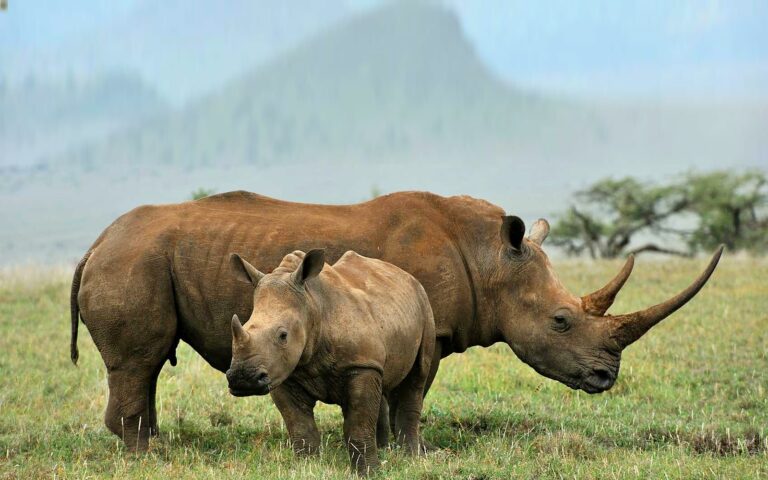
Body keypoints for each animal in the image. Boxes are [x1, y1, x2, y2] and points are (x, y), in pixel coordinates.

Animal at [70, 191, 722, 451]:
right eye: (561, 321)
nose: (607, 377)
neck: (489, 258)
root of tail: (94, 242)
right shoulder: (423, 324)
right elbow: (403, 394)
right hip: (132, 261)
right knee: (138, 361)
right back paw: (150, 456)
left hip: (138, 258)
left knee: (146, 367)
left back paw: (155, 447)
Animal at [227, 249, 434, 475]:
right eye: (245, 325)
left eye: (283, 335)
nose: (243, 379)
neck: (313, 305)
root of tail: (404, 274)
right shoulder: (283, 373)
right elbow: (300, 427)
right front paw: (306, 468)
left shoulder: (360, 365)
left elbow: (358, 425)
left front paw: (368, 473)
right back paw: (385, 450)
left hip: (424, 304)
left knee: (417, 376)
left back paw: (412, 458)